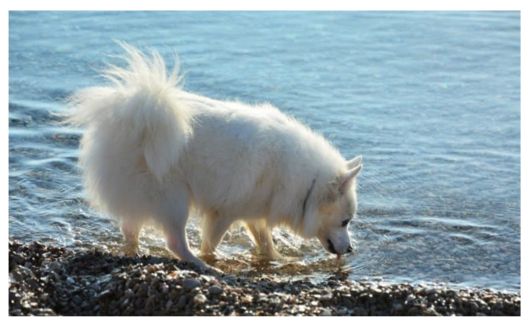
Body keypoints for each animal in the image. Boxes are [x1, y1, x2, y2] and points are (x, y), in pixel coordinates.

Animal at [68, 44, 360, 270]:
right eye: (345, 221)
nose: (350, 250)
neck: (307, 183)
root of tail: (131, 118)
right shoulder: (223, 212)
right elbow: (211, 242)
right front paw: (211, 257)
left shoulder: (254, 211)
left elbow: (264, 240)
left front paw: (277, 258)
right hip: (174, 198)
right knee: (174, 241)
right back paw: (201, 265)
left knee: (130, 230)